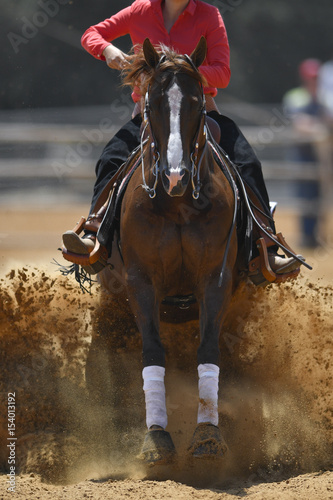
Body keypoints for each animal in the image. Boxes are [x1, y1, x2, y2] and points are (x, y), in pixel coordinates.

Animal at [106, 38, 239, 464]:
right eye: (152, 103)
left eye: (196, 102)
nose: (176, 176)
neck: (177, 203)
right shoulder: (140, 281)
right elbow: (152, 352)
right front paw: (156, 437)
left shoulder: (215, 278)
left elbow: (208, 350)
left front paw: (208, 433)